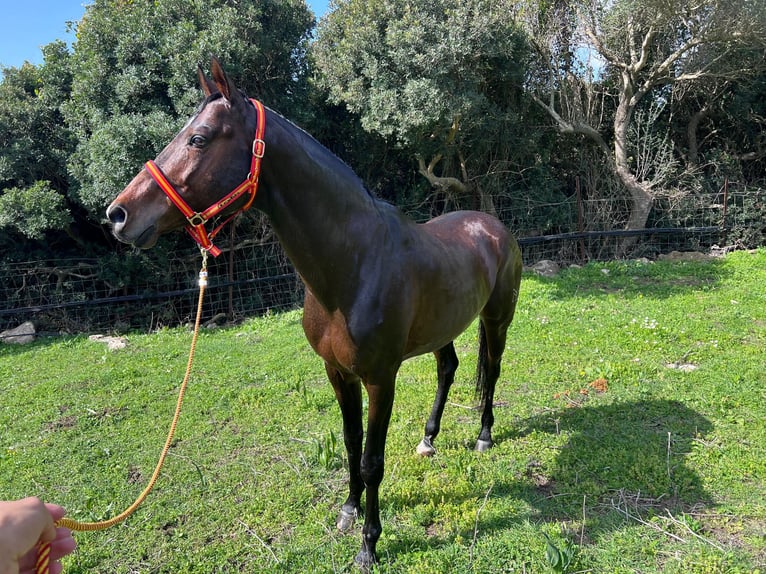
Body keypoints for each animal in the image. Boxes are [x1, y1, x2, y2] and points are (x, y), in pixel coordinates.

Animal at [106, 58, 520, 572]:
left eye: (198, 138)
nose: (119, 214)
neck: (354, 264)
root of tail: (493, 226)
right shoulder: (337, 373)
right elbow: (349, 443)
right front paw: (348, 511)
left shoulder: (380, 379)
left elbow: (371, 459)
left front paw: (369, 545)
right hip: (442, 327)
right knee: (449, 368)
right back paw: (429, 439)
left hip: (496, 320)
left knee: (492, 370)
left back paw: (484, 436)